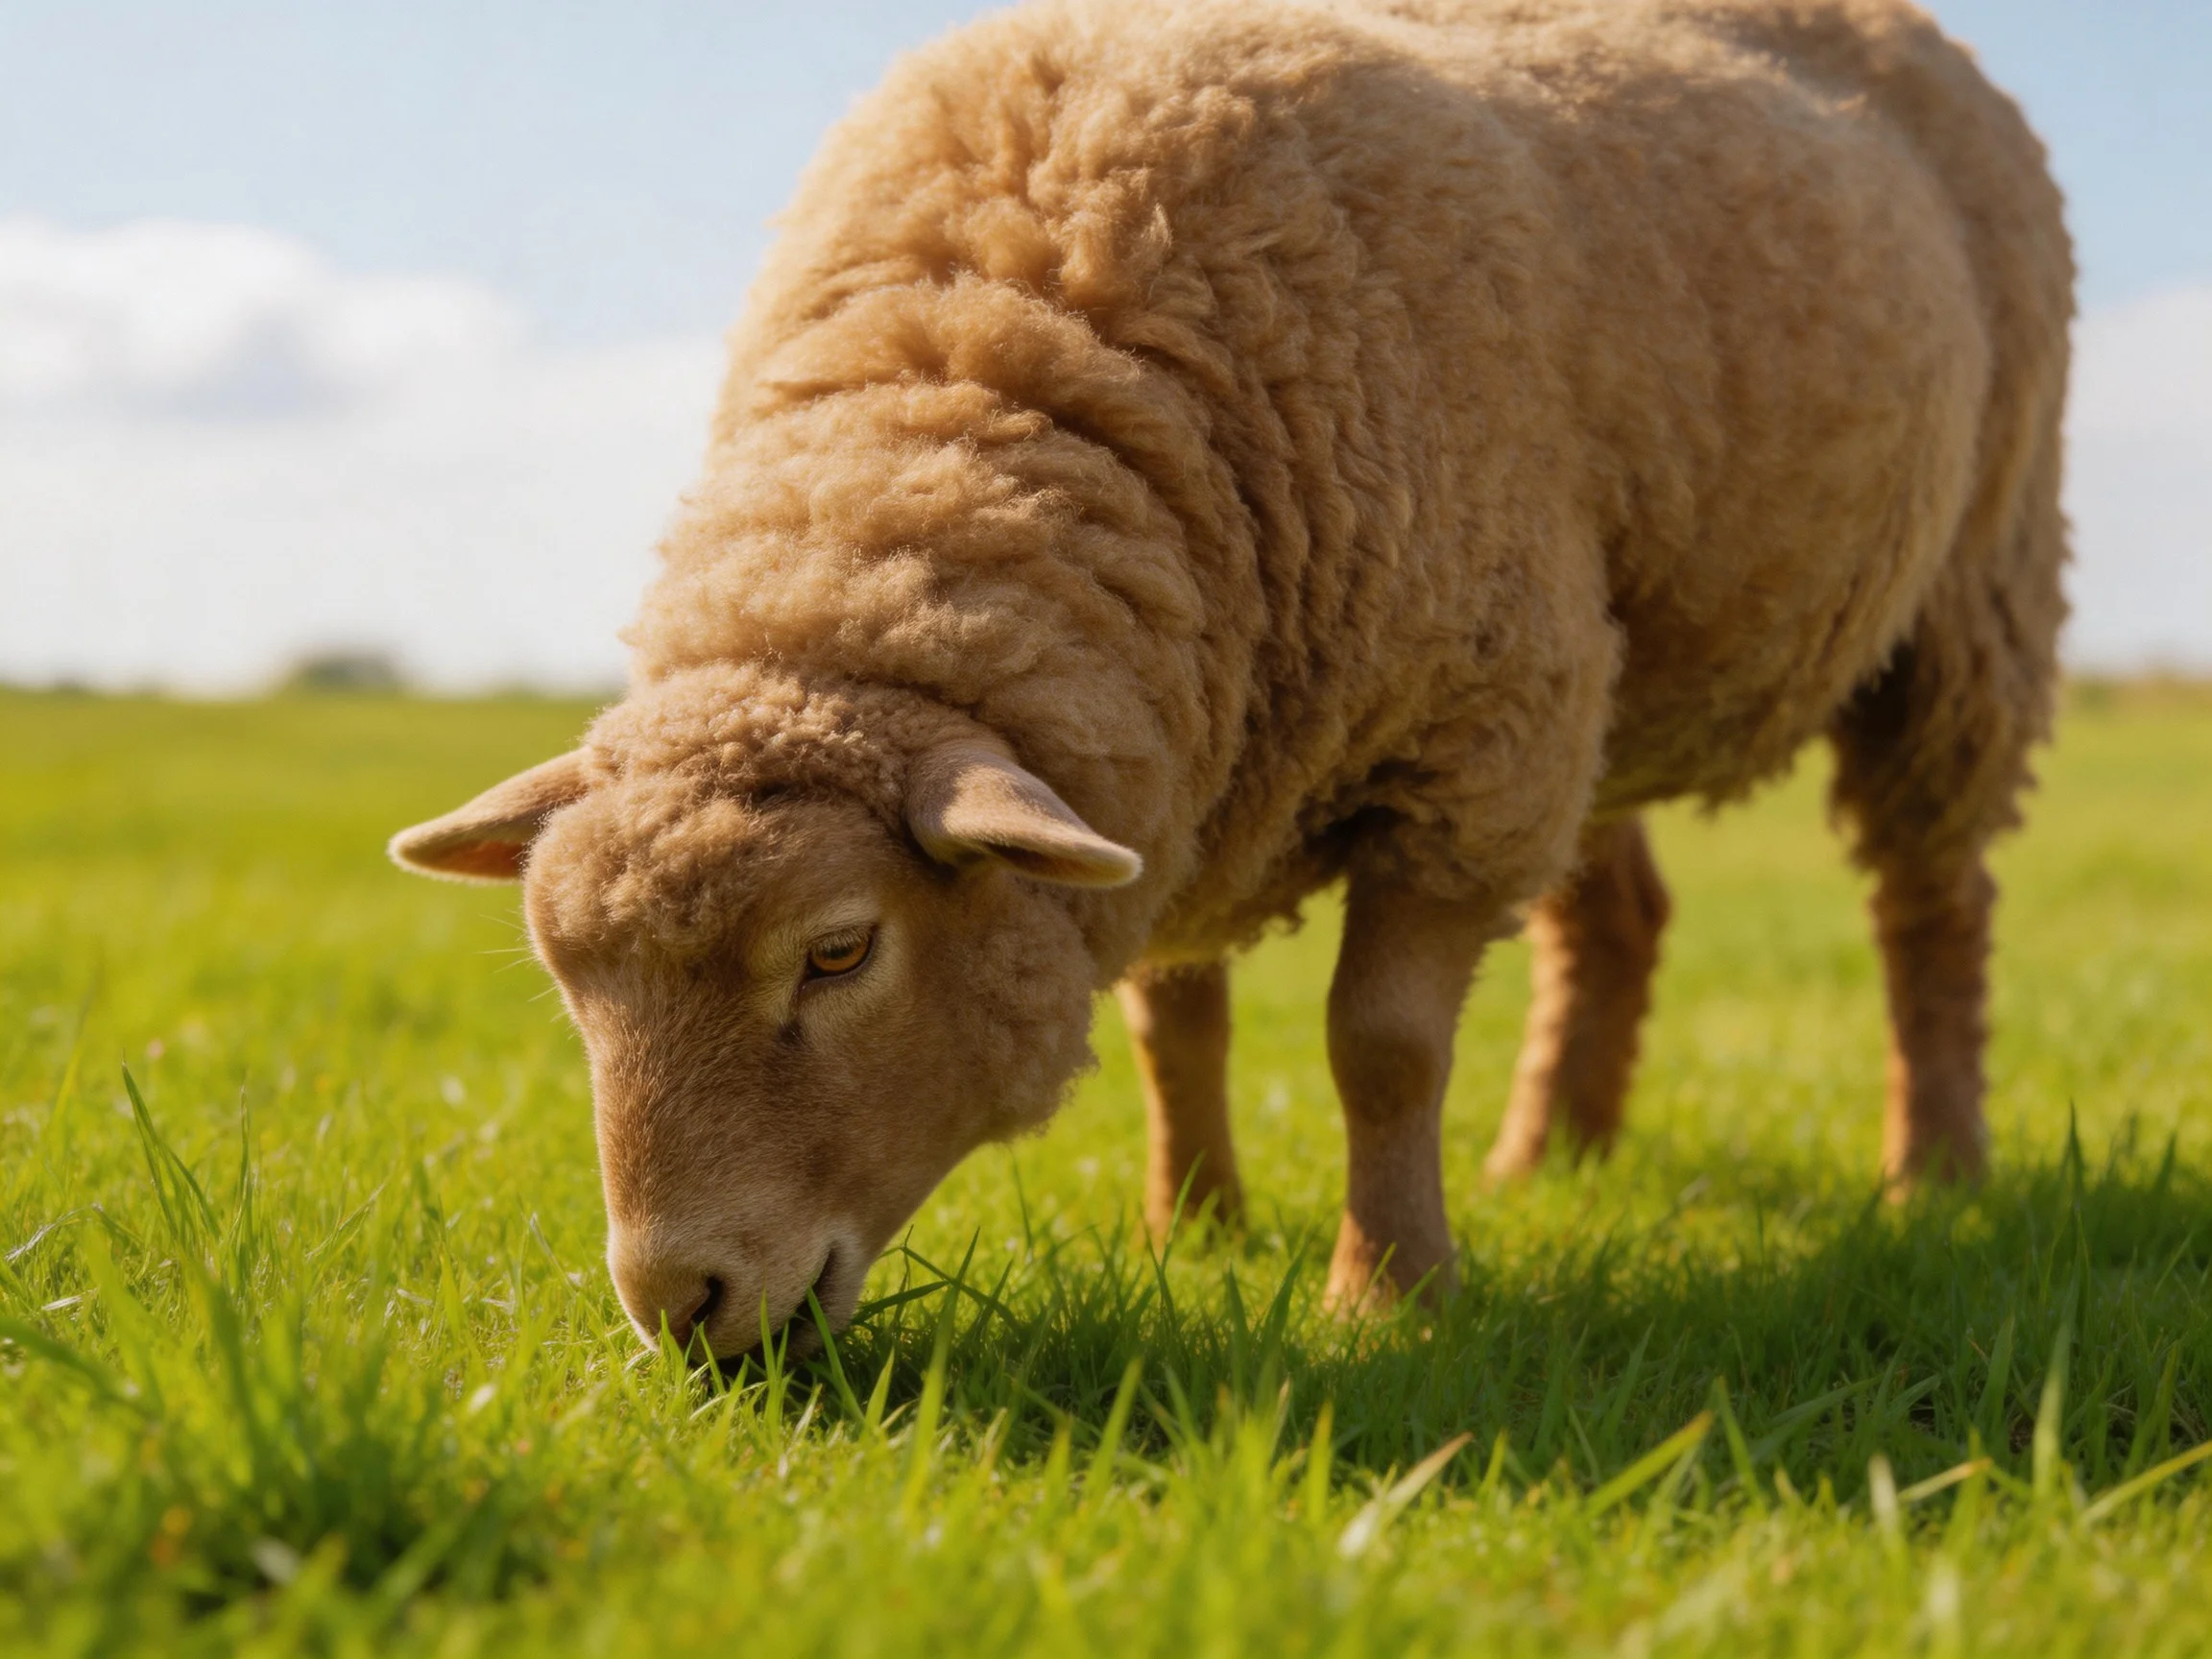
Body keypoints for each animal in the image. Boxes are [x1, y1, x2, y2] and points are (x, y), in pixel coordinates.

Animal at [391, 0, 2071, 1350]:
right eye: (568, 980)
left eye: (839, 952)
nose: (677, 1304)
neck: (982, 370)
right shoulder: (1178, 744)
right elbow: (1172, 1024)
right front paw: (1190, 1226)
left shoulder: (1463, 743)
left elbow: (1380, 1048)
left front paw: (1389, 1295)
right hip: (1602, 673)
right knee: (1621, 918)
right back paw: (1554, 1160)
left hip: (1968, 591)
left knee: (1931, 906)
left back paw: (1935, 1173)